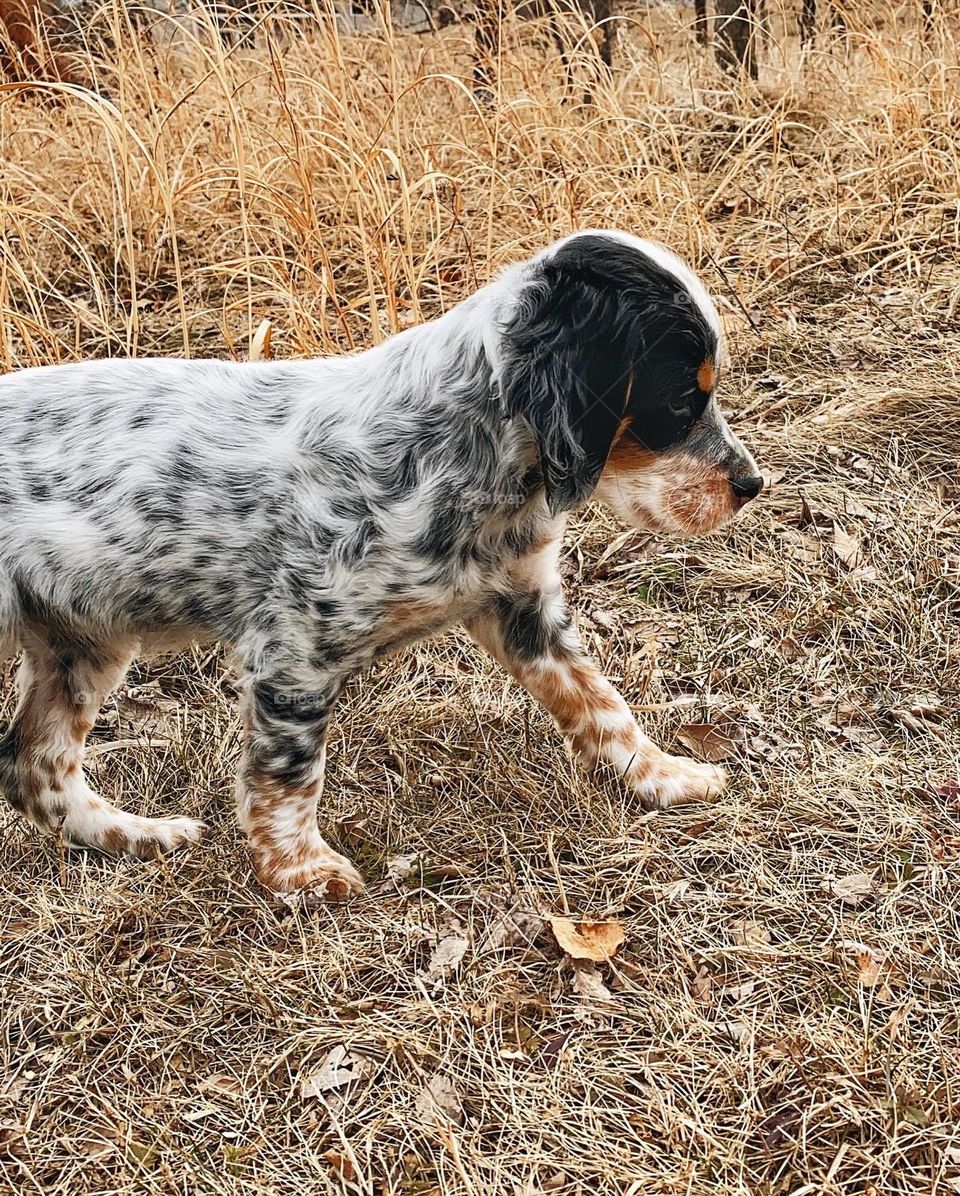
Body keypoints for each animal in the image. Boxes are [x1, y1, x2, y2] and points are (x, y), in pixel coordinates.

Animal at [1, 230, 765, 899]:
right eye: (680, 399)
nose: (752, 485)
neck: (459, 451)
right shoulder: (297, 648)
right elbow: (290, 769)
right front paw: (300, 872)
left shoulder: (522, 607)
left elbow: (600, 701)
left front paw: (662, 775)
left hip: (83, 645)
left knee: (32, 767)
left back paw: (136, 835)